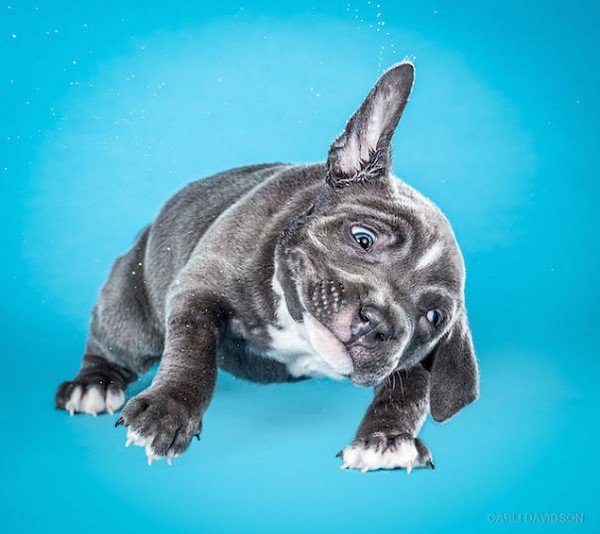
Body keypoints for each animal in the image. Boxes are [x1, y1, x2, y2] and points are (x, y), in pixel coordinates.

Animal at [56, 61, 478, 474]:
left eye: (434, 317)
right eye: (363, 238)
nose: (377, 323)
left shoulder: (411, 366)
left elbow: (407, 396)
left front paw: (386, 440)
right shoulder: (198, 290)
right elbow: (193, 352)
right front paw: (167, 409)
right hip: (132, 309)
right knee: (113, 343)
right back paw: (92, 385)